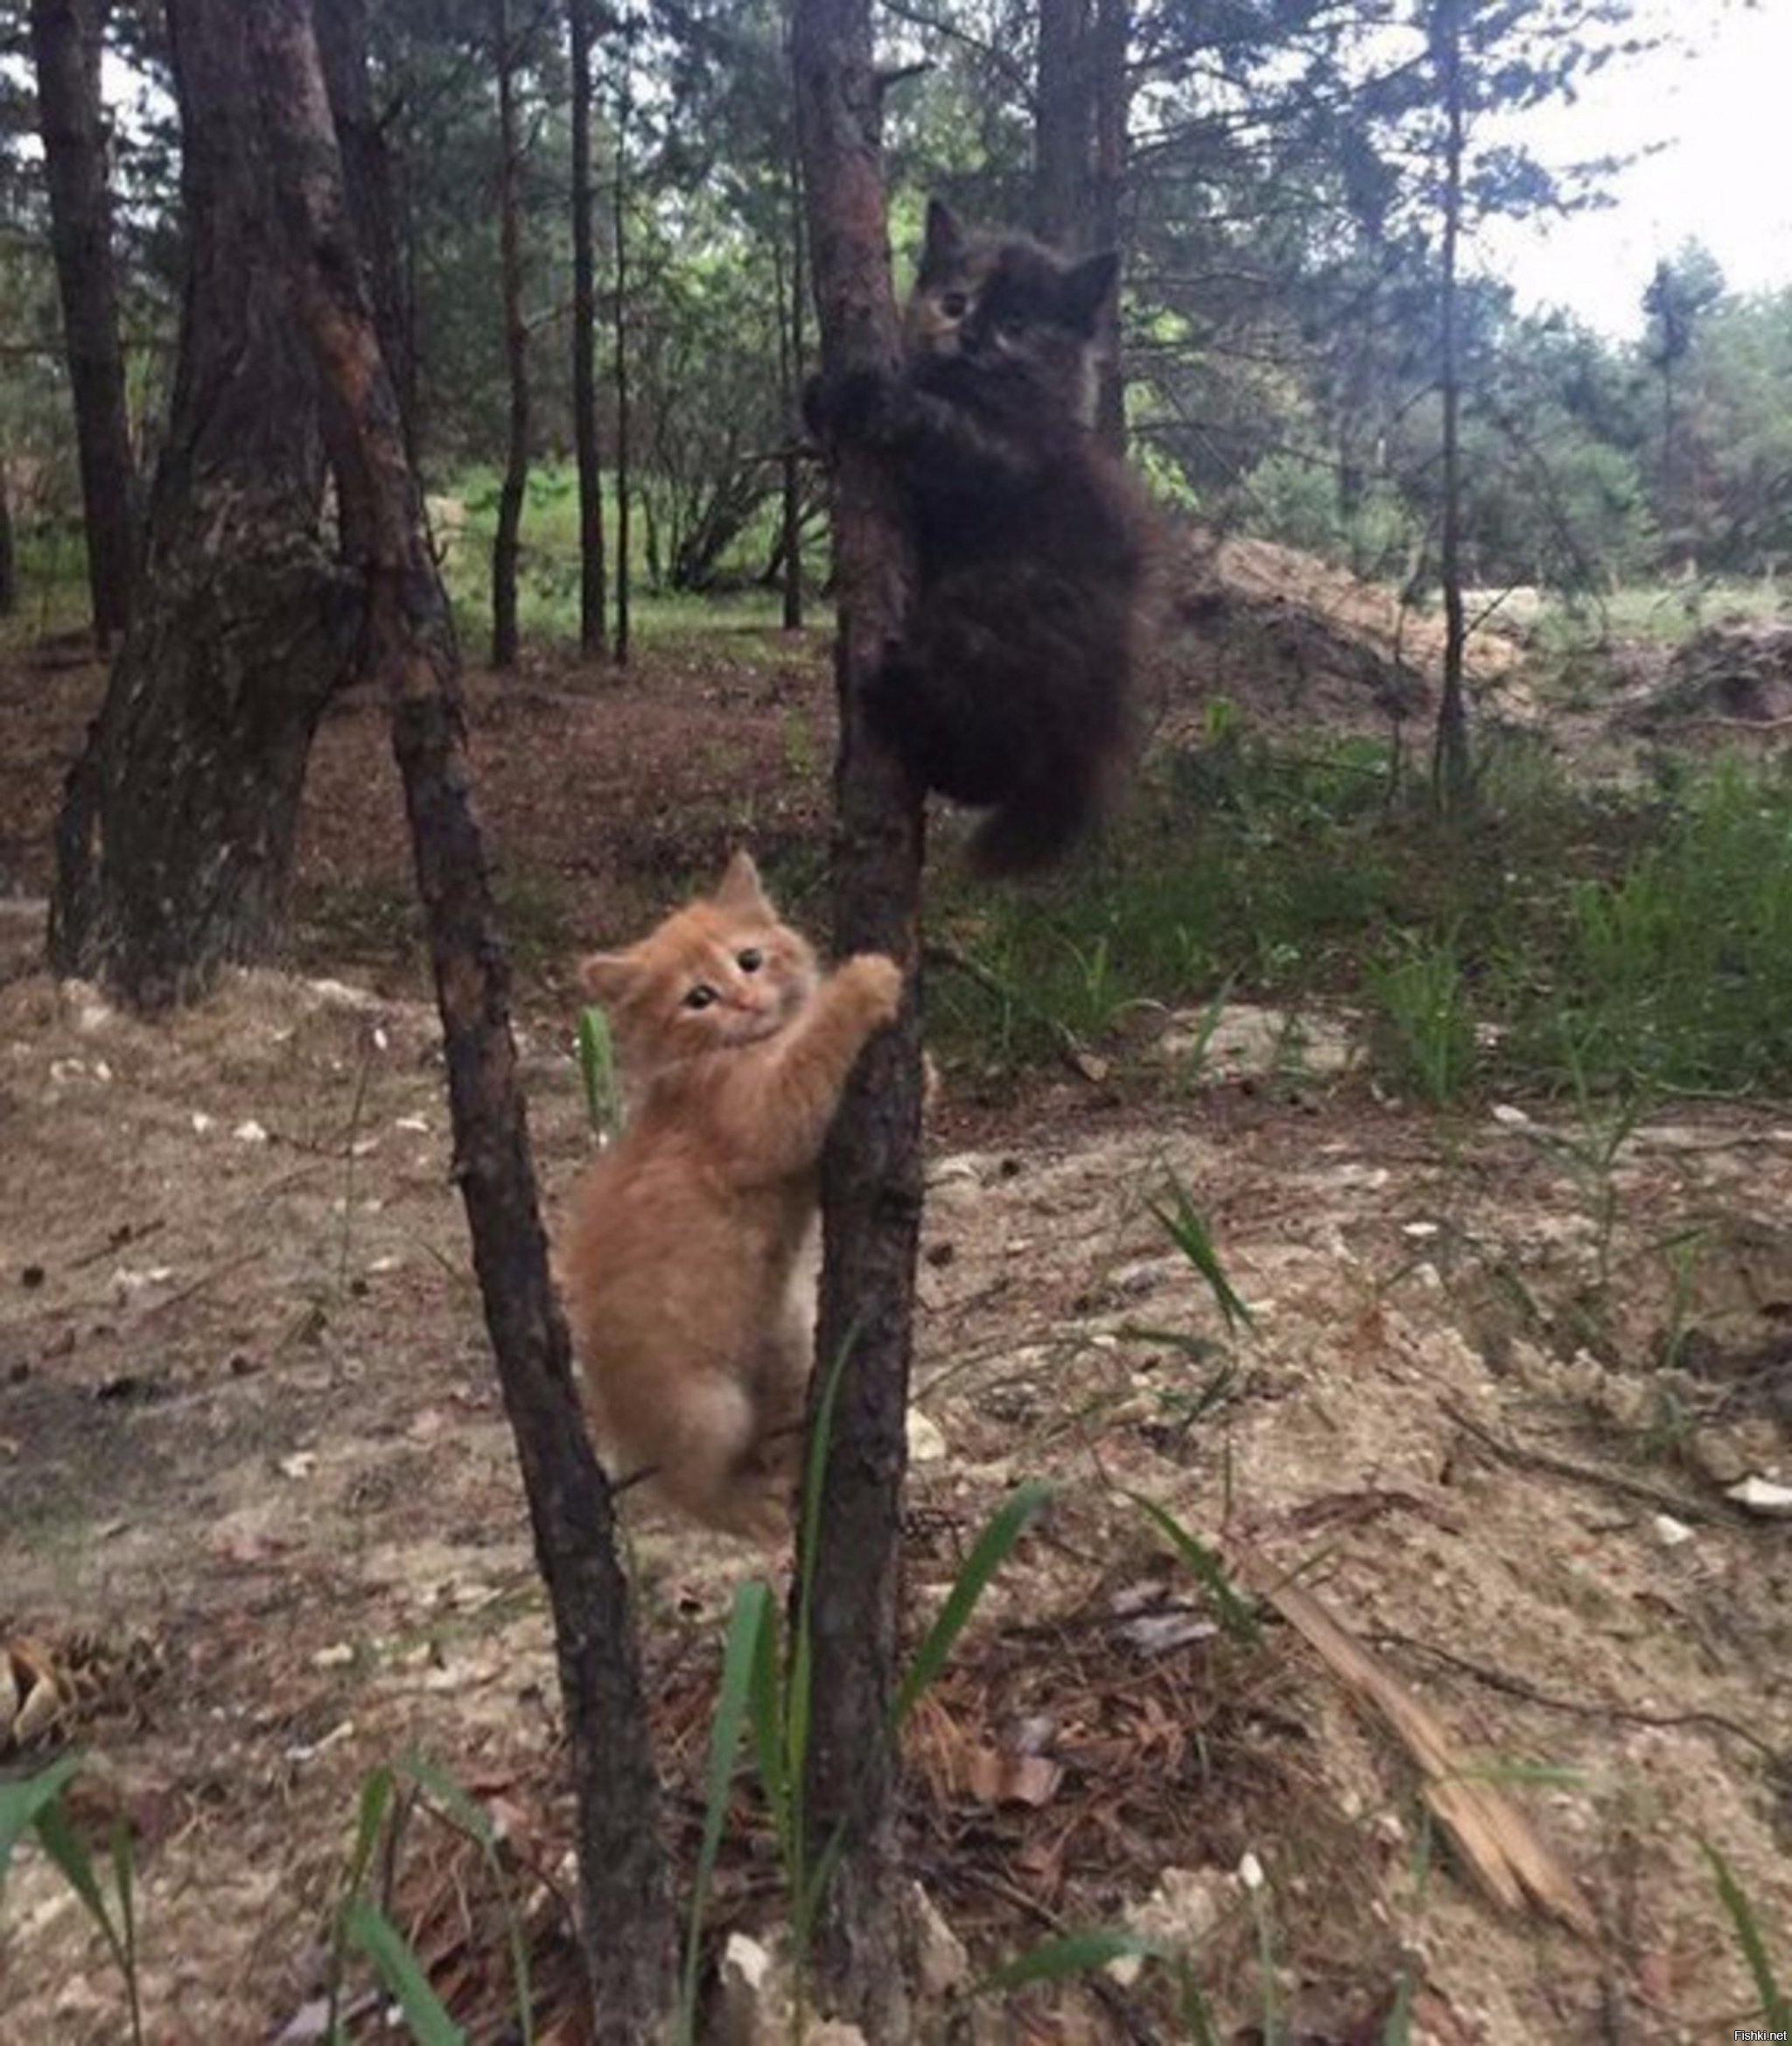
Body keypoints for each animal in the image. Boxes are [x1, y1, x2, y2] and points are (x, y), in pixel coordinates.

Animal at [564, 846, 904, 1538]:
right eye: (699, 998)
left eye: (749, 959)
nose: (745, 1001)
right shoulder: (760, 1116)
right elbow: (812, 1054)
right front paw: (863, 981)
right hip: (707, 1409)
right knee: (695, 1493)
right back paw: (756, 1510)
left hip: (786, 1342)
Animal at [809, 199, 1145, 879]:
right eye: (955, 302)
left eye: (1015, 322)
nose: (968, 336)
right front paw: (817, 396)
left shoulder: (1005, 463)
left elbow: (940, 428)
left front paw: (880, 399)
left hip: (993, 603)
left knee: (999, 752)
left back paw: (899, 687)